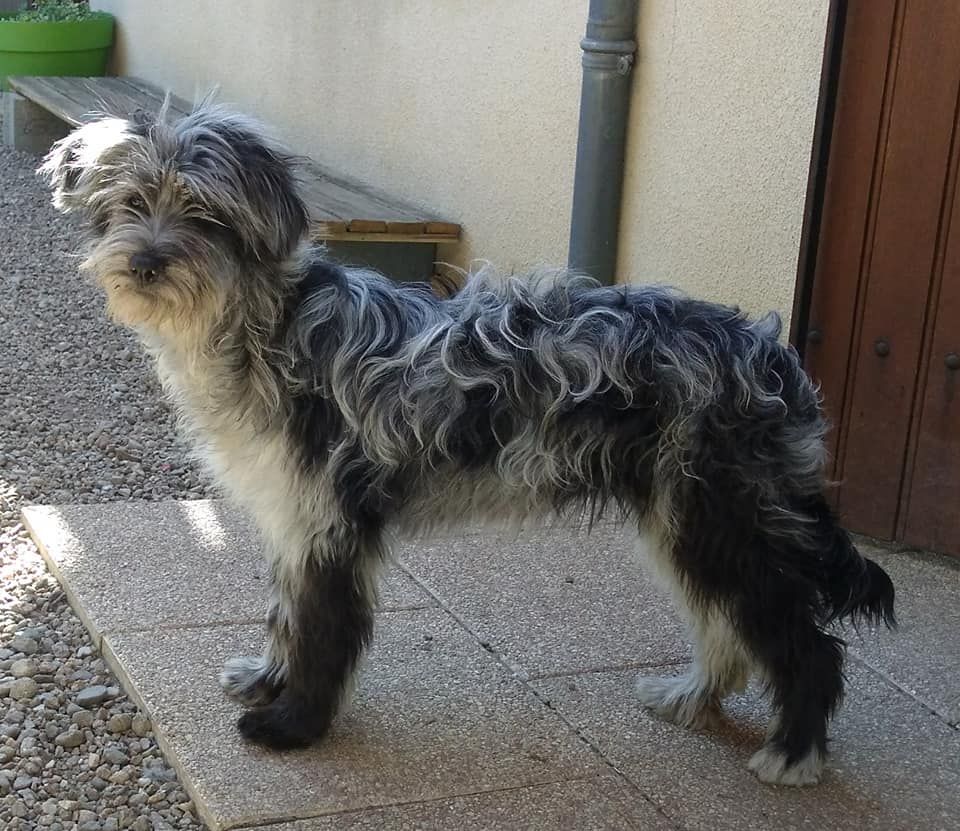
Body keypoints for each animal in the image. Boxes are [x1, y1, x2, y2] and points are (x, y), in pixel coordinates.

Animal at [39, 102, 895, 787]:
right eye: (128, 204)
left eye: (205, 213)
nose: (147, 262)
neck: (272, 326)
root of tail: (773, 355)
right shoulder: (289, 515)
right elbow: (286, 614)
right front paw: (267, 677)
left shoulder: (329, 522)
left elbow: (321, 629)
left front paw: (293, 725)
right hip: (685, 521)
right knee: (730, 628)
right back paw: (692, 697)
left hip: (722, 519)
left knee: (803, 643)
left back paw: (794, 754)